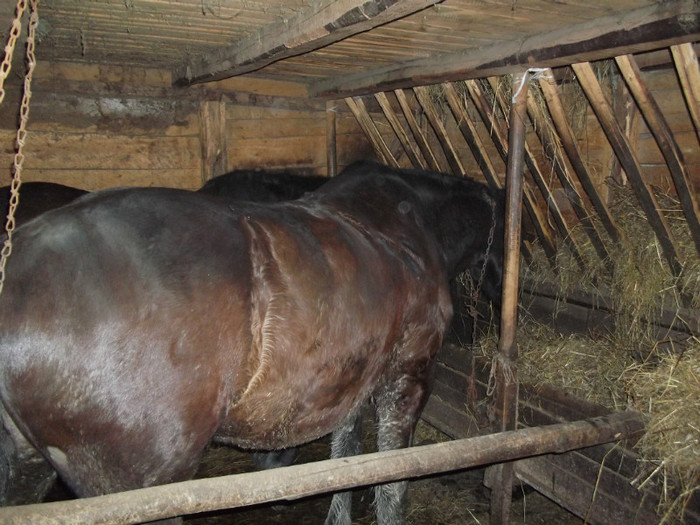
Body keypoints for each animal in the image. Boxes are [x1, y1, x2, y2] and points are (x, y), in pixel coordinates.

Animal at [0, 161, 504, 524]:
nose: (500, 314)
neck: (412, 230)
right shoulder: (408, 378)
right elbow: (392, 480)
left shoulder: (351, 384)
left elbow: (346, 462)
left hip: (29, 464)